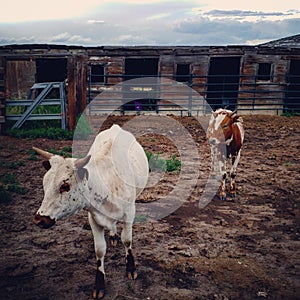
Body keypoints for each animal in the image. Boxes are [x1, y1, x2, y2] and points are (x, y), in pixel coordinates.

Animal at [31, 124, 149, 298]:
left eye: (65, 186)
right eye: (45, 183)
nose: (39, 219)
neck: (107, 183)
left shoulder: (129, 213)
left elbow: (127, 240)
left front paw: (131, 268)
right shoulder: (93, 218)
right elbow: (99, 250)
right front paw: (99, 284)